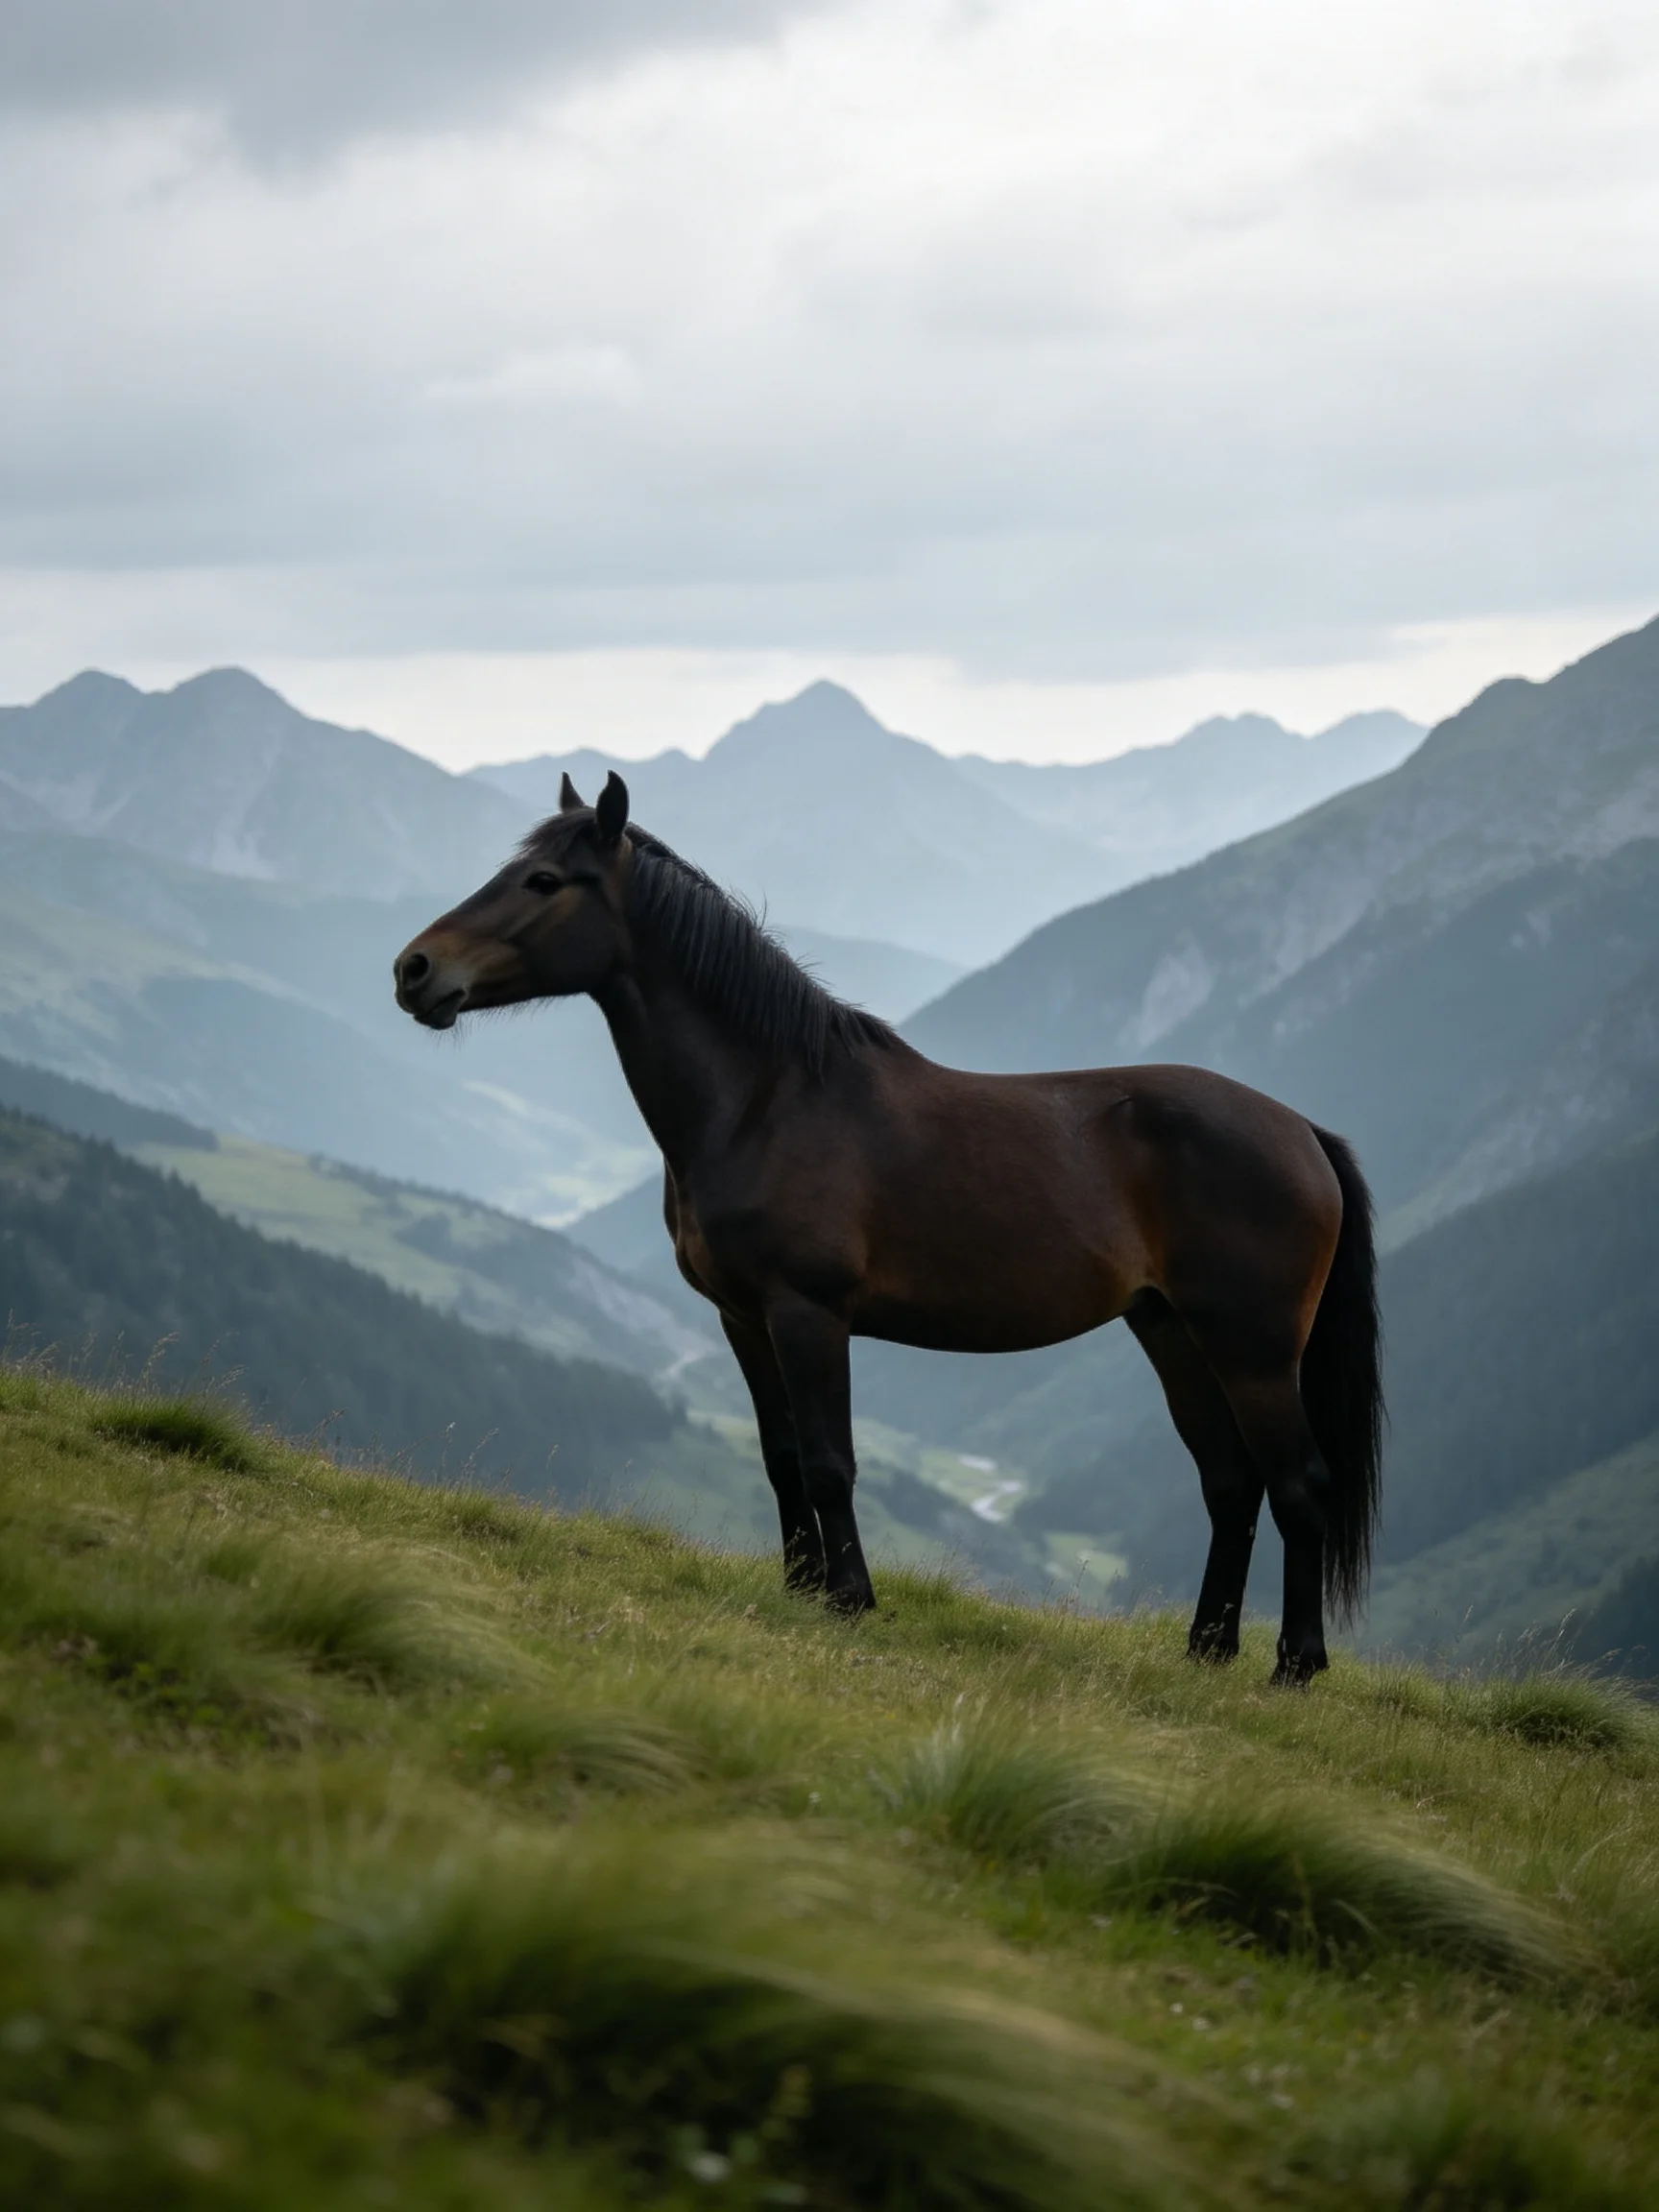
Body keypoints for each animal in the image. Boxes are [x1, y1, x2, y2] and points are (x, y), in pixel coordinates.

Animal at [394, 771, 1383, 1683]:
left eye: (544, 881)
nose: (414, 970)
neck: (765, 1100)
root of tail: (1302, 1132)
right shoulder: (743, 1319)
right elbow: (782, 1456)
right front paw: (798, 1588)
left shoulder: (808, 1313)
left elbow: (830, 1460)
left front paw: (848, 1600)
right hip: (1171, 1332)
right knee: (1231, 1483)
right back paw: (1206, 1650)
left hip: (1253, 1350)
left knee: (1298, 1485)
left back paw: (1295, 1665)